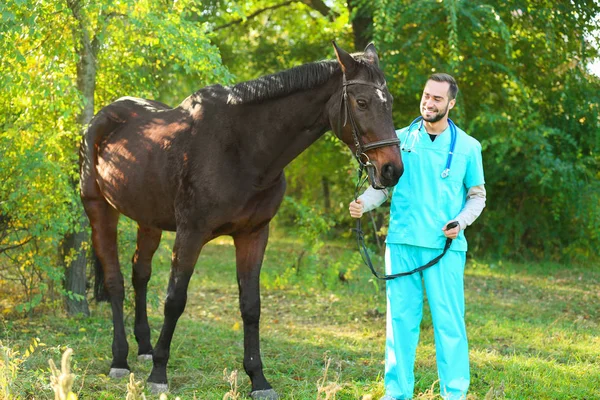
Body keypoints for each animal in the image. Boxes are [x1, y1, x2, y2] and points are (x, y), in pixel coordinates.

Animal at [77, 42, 400, 398]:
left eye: (390, 102)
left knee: (140, 274)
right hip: (99, 210)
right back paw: (120, 359)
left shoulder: (253, 234)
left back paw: (144, 347)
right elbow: (175, 300)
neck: (243, 150)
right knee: (115, 282)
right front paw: (159, 373)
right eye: (361, 102)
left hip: (148, 221)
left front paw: (258, 378)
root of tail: (101, 119)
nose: (392, 170)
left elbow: (251, 306)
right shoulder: (190, 234)